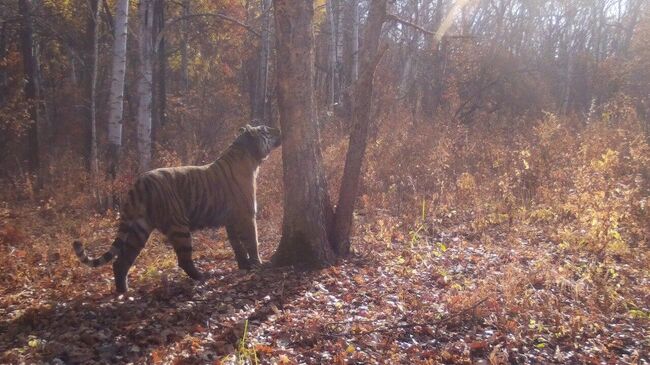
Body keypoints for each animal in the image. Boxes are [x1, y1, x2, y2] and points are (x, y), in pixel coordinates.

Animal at [73, 123, 280, 292]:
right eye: (265, 129)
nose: (278, 129)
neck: (250, 158)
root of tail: (140, 182)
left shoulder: (230, 220)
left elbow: (237, 245)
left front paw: (244, 265)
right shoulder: (247, 215)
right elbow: (252, 241)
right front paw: (257, 265)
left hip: (139, 229)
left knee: (121, 262)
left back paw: (124, 292)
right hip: (178, 226)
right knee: (183, 259)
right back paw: (202, 277)